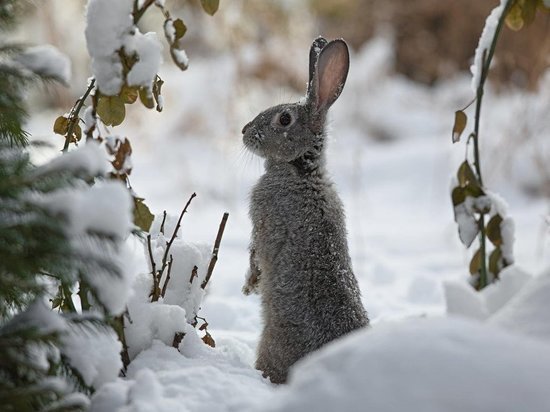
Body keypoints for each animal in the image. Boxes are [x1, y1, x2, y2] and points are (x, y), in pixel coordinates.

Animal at [242, 37, 370, 384]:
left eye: (284, 119)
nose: (244, 131)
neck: (300, 170)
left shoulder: (263, 221)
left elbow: (255, 254)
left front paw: (249, 285)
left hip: (272, 342)